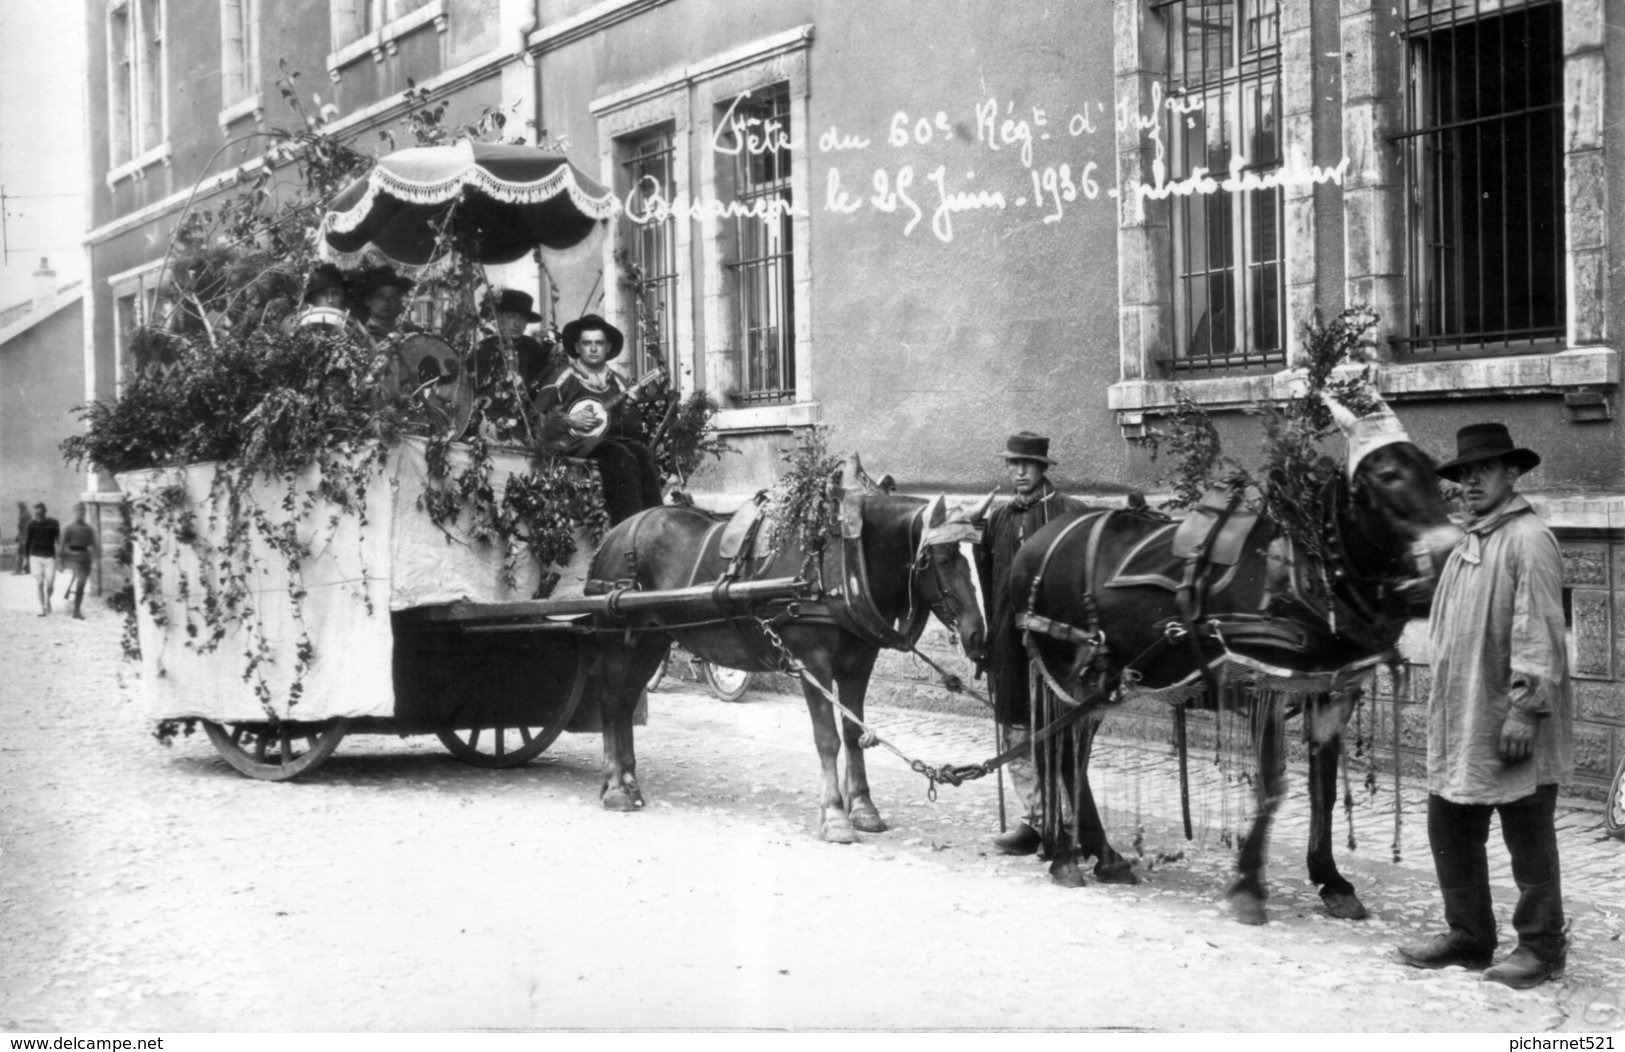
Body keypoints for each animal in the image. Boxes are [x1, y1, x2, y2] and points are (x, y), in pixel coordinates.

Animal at [588, 455, 981, 845]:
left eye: (966, 557)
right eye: (943, 559)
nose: (977, 632)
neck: (838, 560)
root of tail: (613, 534)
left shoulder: (858, 664)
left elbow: (853, 734)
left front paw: (864, 809)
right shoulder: (812, 662)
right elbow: (827, 739)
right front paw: (835, 817)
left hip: (649, 640)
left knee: (626, 703)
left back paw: (627, 782)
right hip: (616, 640)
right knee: (611, 701)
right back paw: (616, 788)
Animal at [1014, 403, 1462, 923]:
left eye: (1432, 472)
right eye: (1388, 475)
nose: (1447, 557)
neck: (1302, 571)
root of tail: (1038, 543)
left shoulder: (1328, 695)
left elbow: (1322, 791)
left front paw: (1331, 880)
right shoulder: (1264, 688)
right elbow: (1271, 787)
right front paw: (1249, 886)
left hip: (1103, 684)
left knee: (1073, 760)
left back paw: (1103, 855)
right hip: (1074, 678)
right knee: (1064, 757)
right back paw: (1068, 860)